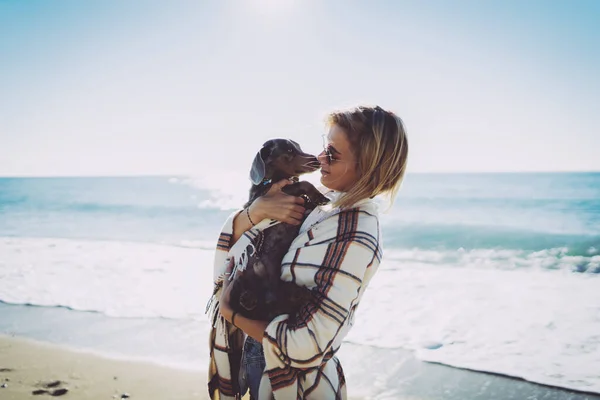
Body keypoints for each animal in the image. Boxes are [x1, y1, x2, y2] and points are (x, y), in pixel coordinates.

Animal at [229, 138, 330, 322]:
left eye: (298, 147)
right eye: (289, 150)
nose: (317, 160)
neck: (274, 180)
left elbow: (304, 197)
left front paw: (316, 199)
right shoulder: (265, 194)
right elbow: (303, 183)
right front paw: (319, 196)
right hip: (239, 281)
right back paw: (248, 299)